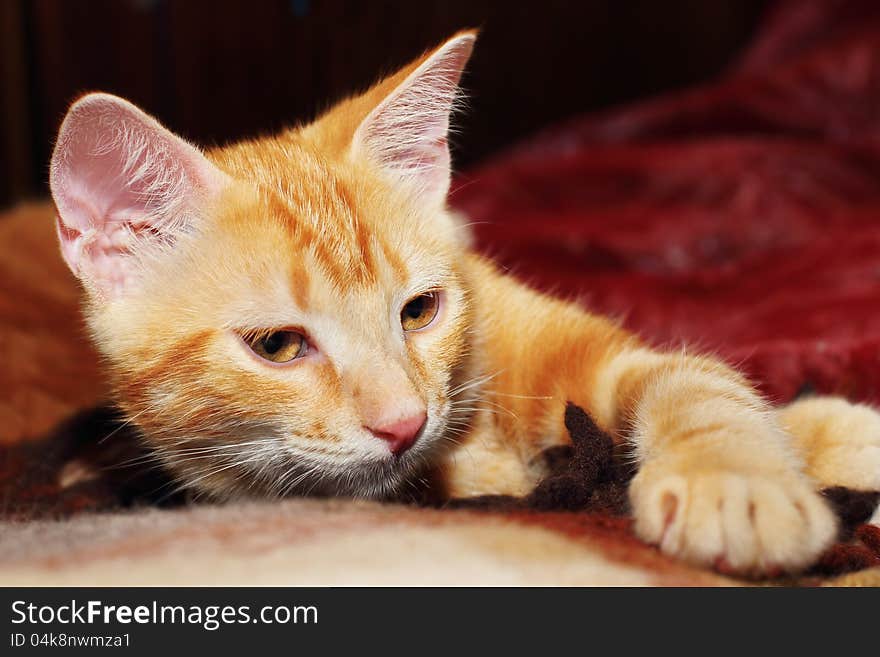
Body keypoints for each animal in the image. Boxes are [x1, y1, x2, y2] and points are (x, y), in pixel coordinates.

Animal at [49, 32, 880, 576]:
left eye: (420, 310)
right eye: (278, 346)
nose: (404, 422)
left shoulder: (588, 355)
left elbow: (700, 383)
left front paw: (743, 476)